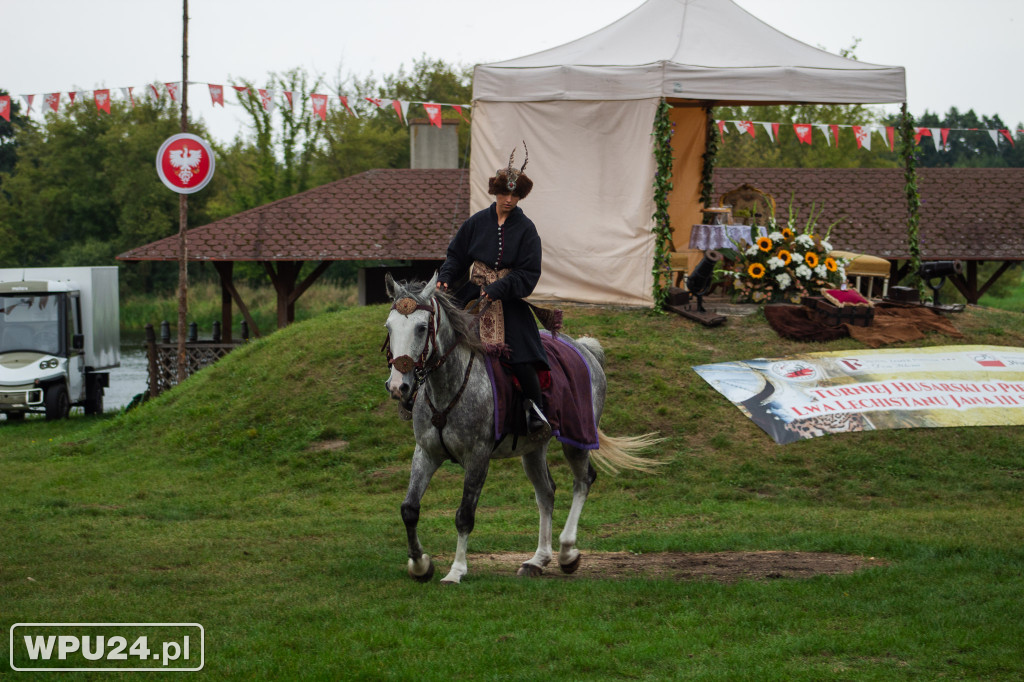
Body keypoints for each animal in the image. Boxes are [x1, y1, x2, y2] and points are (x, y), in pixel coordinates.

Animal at [385, 274, 663, 581]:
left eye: (422, 328)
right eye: (389, 326)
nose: (398, 386)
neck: (449, 386)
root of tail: (584, 348)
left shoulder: (478, 457)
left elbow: (464, 515)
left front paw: (456, 571)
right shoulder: (426, 453)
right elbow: (409, 509)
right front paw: (420, 564)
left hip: (577, 438)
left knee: (583, 481)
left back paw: (567, 552)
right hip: (533, 448)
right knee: (546, 492)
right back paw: (538, 560)